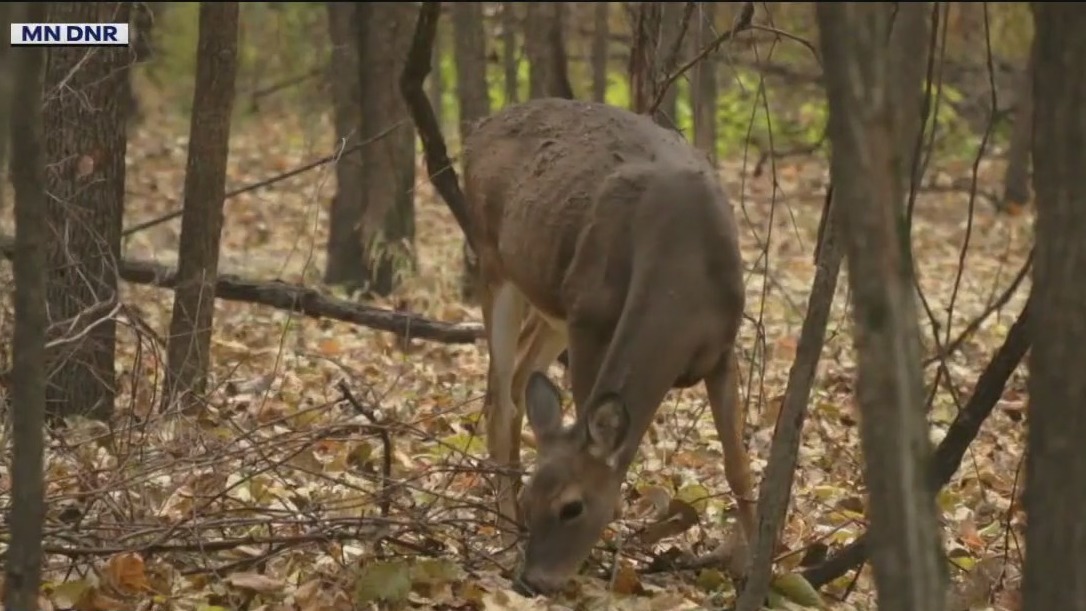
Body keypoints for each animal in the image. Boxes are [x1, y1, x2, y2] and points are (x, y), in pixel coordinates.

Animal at [461, 97, 757, 596]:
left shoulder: (722, 348)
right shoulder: (591, 317)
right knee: (500, 396)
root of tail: (480, 126)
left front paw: (754, 565)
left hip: (552, 303)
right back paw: (503, 533)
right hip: (494, 262)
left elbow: (738, 465)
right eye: (534, 499)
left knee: (520, 379)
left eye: (571, 507)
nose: (530, 582)